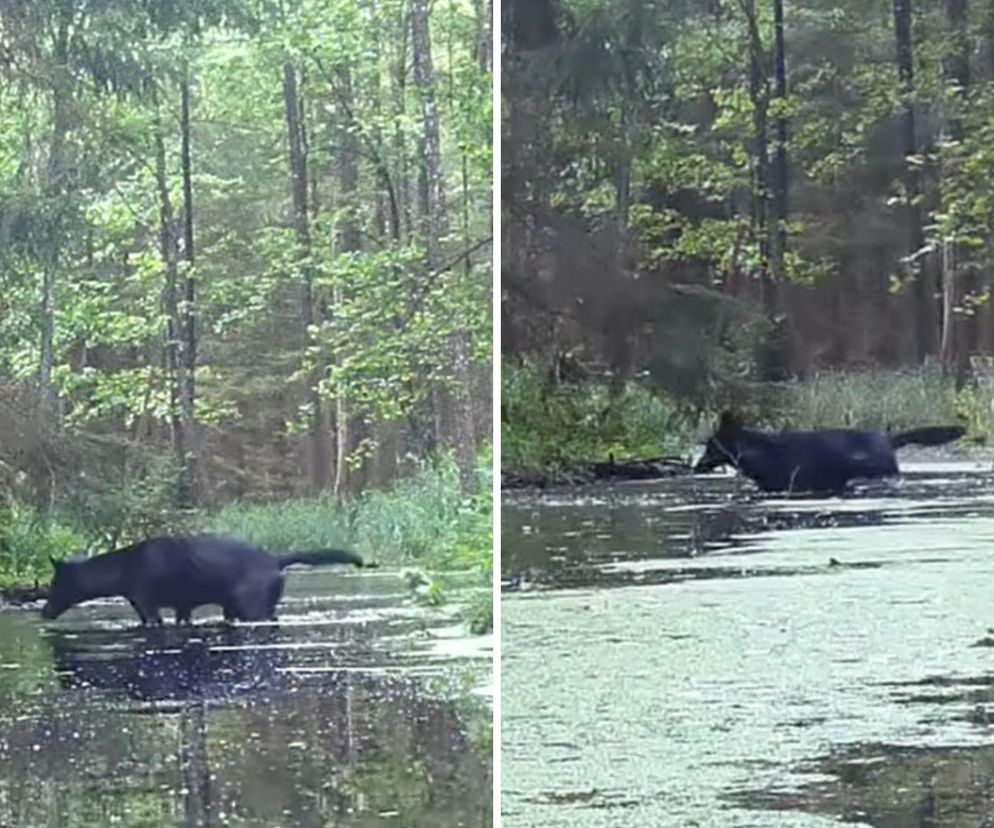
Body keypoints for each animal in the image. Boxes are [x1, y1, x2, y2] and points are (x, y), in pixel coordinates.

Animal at [41, 532, 368, 624]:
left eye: (55, 583)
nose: (44, 611)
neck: (119, 572)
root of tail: (277, 560)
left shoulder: (147, 605)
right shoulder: (181, 607)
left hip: (254, 608)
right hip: (233, 608)